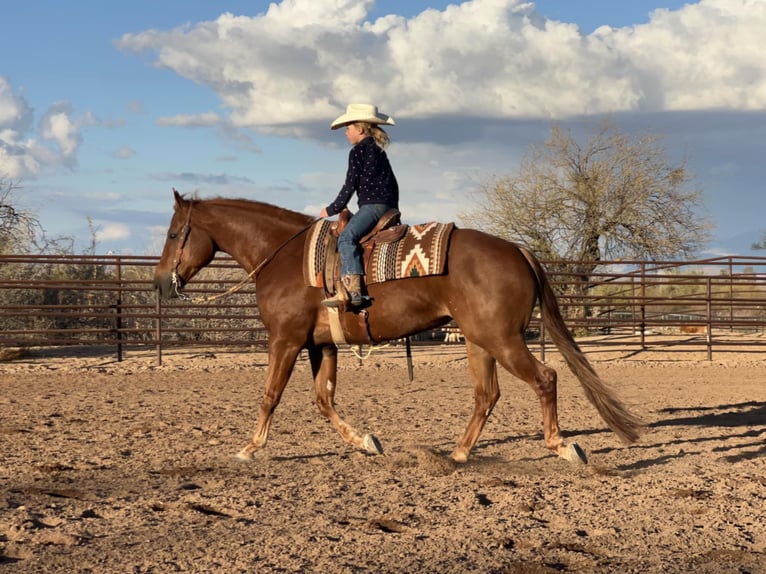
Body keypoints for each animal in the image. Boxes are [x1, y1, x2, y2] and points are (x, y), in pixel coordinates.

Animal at [154, 191, 640, 466]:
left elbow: (271, 395)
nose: (160, 282)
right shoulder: (320, 345)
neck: (284, 258)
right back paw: (458, 453)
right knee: (487, 395)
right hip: (480, 341)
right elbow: (323, 399)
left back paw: (561, 446)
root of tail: (518, 250)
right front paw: (365, 441)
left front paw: (250, 448)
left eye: (175, 233)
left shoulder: (285, 340)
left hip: (502, 340)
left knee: (545, 377)